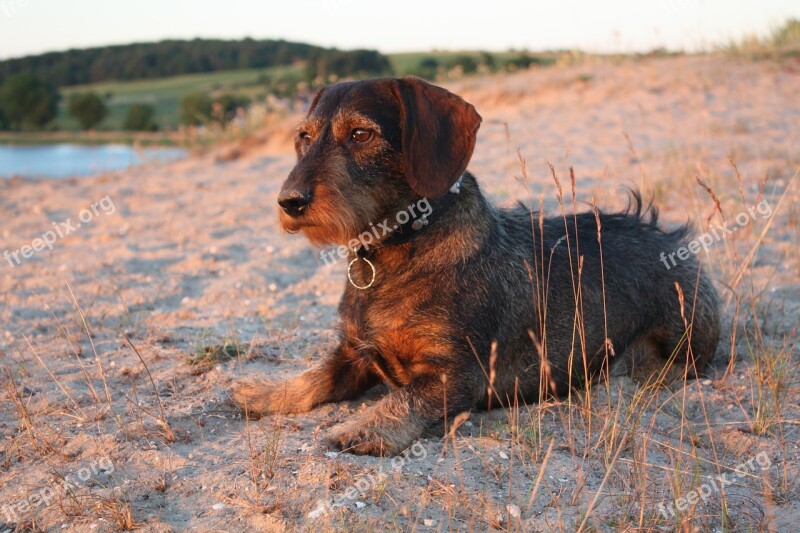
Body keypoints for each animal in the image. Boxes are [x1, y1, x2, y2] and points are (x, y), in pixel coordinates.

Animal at [230, 77, 720, 456]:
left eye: (361, 135)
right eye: (304, 136)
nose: (289, 202)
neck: (401, 248)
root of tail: (675, 243)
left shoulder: (459, 373)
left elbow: (402, 400)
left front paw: (360, 427)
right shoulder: (355, 352)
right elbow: (316, 376)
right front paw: (264, 391)